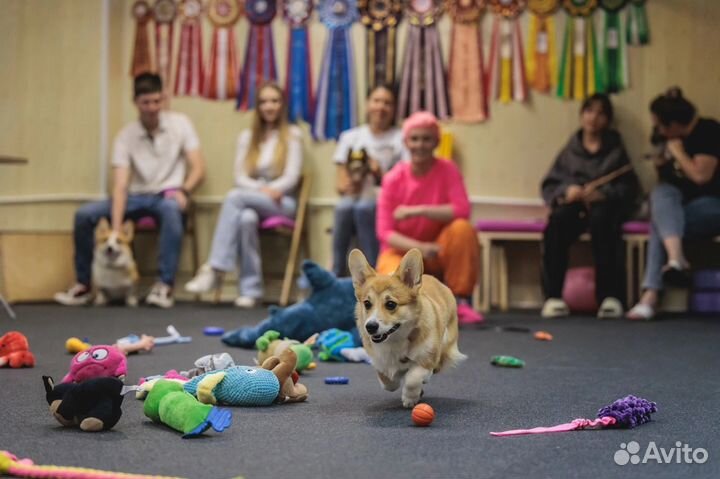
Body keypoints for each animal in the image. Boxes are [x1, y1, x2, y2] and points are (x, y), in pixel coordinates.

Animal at [348, 248, 466, 408]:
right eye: (367, 303)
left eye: (390, 304)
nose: (370, 327)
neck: (394, 341)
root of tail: (435, 279)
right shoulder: (379, 360)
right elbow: (387, 381)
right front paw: (395, 378)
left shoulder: (427, 359)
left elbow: (413, 378)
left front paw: (410, 398)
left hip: (447, 342)